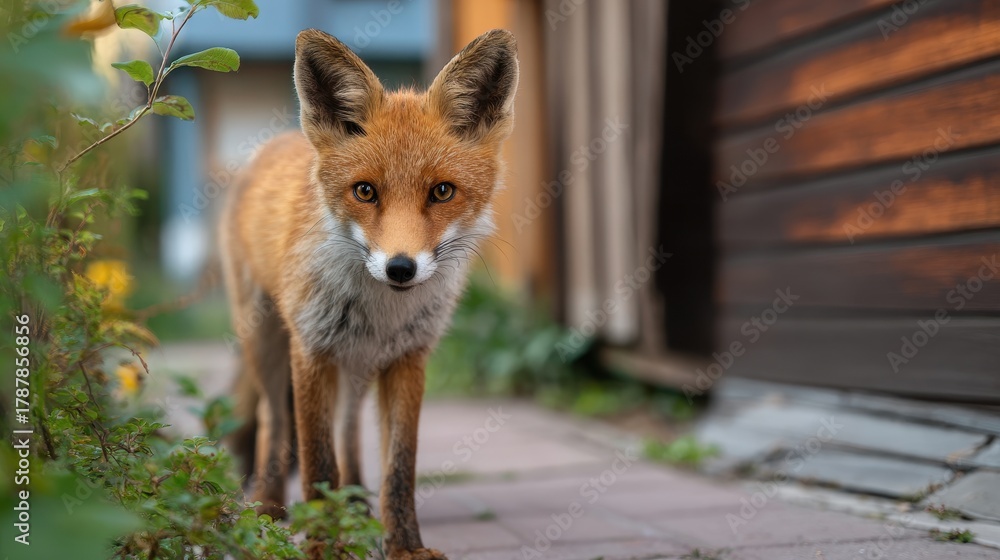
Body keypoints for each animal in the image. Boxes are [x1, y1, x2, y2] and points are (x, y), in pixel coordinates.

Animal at [218, 28, 518, 559]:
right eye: (364, 191)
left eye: (442, 191)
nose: (400, 268)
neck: (384, 311)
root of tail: (272, 142)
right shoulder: (312, 351)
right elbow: (317, 464)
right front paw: (323, 545)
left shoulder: (408, 358)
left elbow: (398, 469)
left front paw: (405, 547)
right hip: (266, 342)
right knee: (273, 421)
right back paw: (269, 506)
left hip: (357, 365)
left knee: (349, 428)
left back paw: (356, 506)